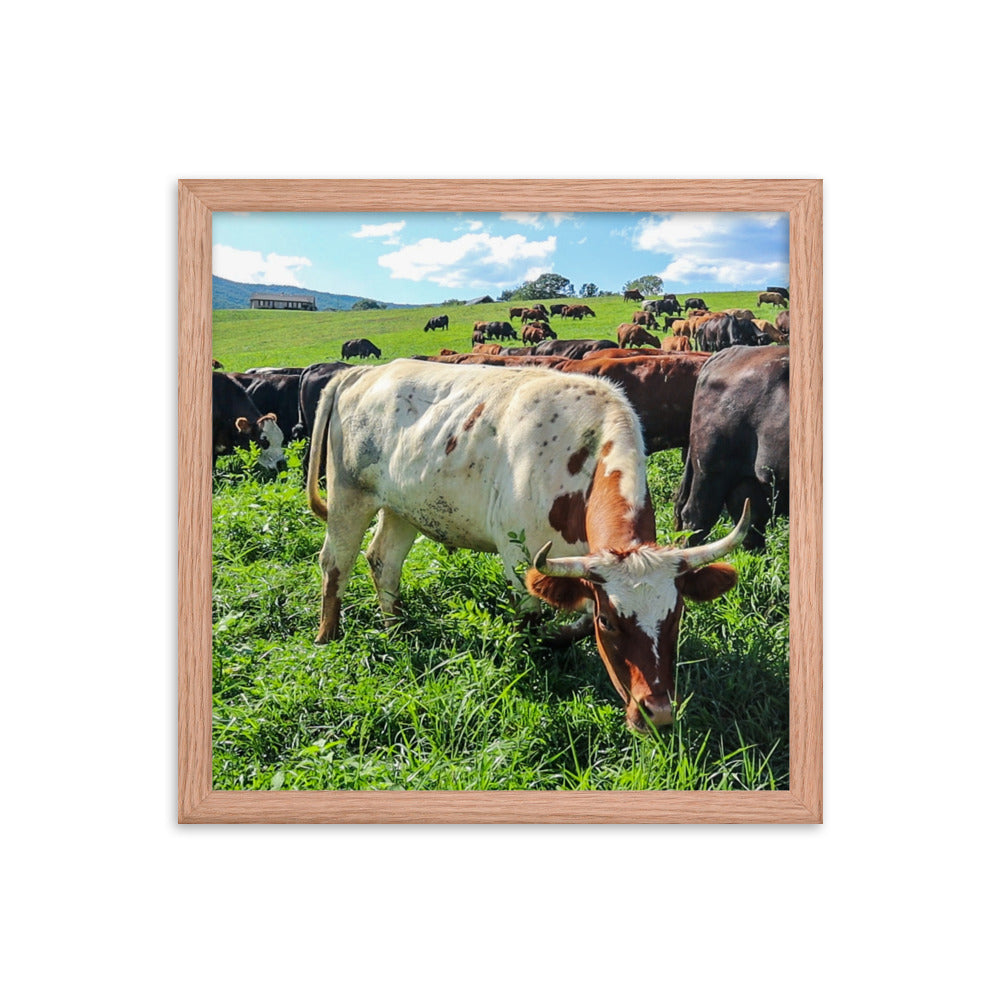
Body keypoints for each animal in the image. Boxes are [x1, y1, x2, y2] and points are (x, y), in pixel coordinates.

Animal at [306, 359, 750, 731]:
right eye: (611, 622)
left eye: (676, 616)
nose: (657, 713)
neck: (582, 457)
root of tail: (363, 372)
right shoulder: (520, 558)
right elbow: (531, 620)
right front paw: (533, 657)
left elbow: (576, 621)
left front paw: (559, 638)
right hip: (349, 497)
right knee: (335, 564)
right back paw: (328, 637)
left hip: (402, 509)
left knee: (384, 562)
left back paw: (396, 627)